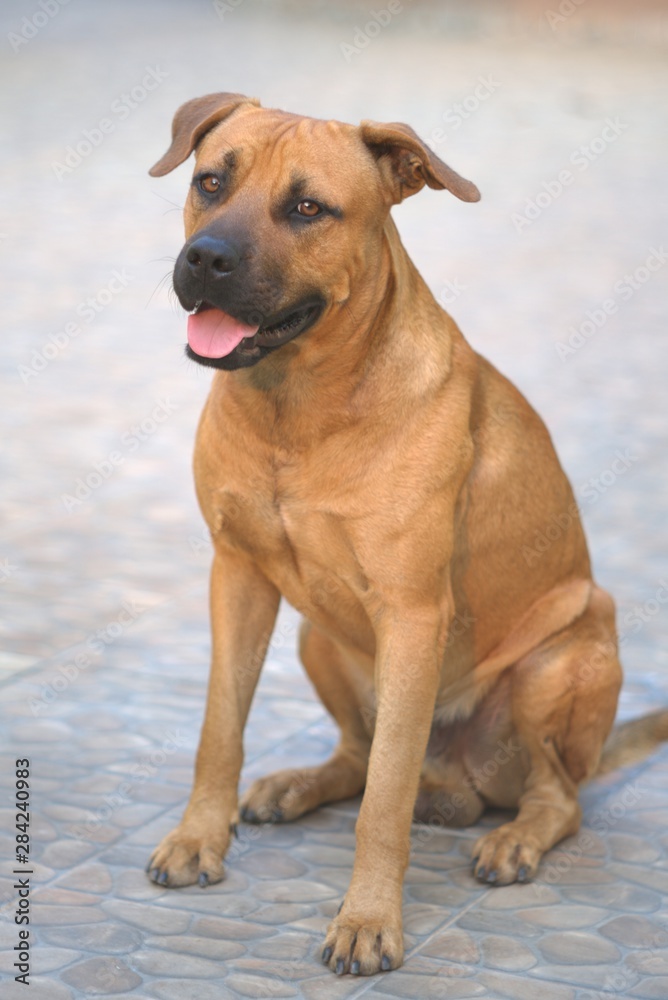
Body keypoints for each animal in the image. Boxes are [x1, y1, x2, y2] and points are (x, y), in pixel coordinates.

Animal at [147, 95, 668, 976]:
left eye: (308, 208)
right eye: (210, 182)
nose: (205, 257)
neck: (300, 409)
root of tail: (459, 782)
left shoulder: (415, 614)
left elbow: (384, 803)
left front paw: (367, 920)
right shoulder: (237, 576)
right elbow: (220, 730)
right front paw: (197, 839)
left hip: (561, 658)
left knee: (554, 796)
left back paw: (515, 839)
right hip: (318, 638)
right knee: (358, 757)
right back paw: (297, 785)